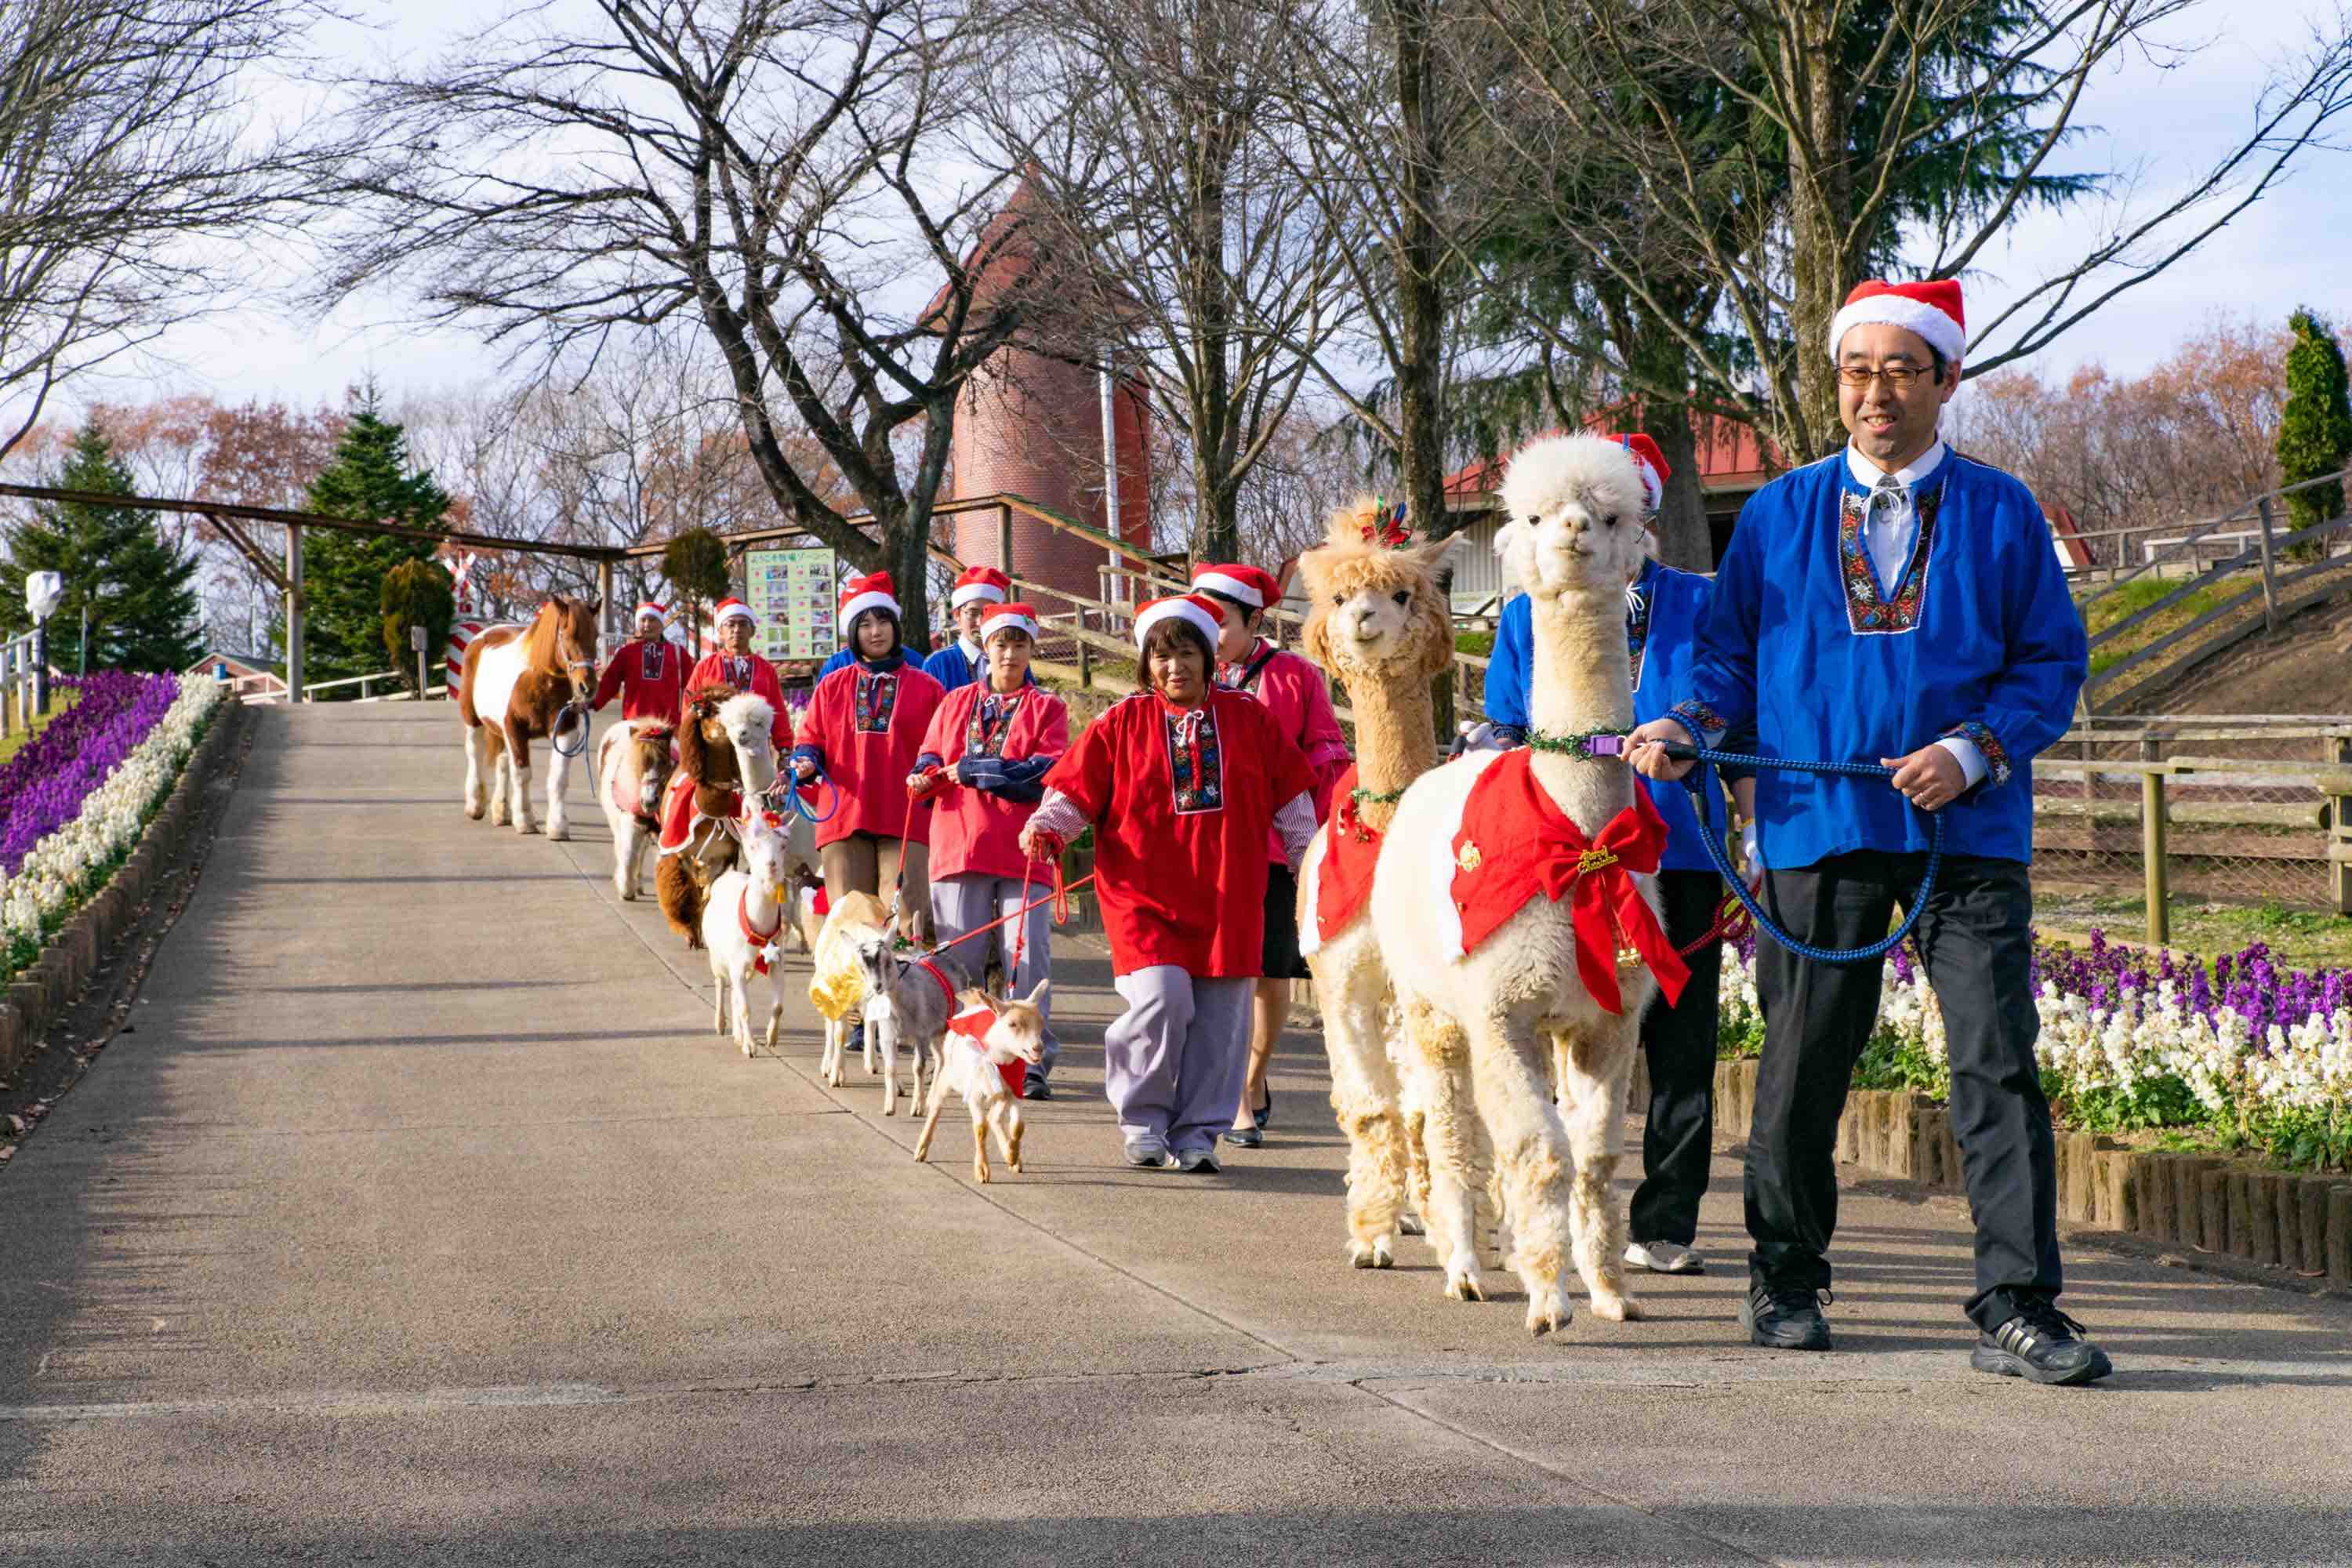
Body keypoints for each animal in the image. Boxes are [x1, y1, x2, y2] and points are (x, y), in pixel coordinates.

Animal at [459, 594, 602, 841]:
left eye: (596, 635)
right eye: (567, 635)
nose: (588, 687)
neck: (540, 681)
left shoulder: (565, 731)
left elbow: (558, 778)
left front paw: (558, 827)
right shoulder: (514, 730)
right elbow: (522, 774)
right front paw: (525, 821)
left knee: (502, 761)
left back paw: (502, 812)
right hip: (473, 720)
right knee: (475, 753)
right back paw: (475, 805)